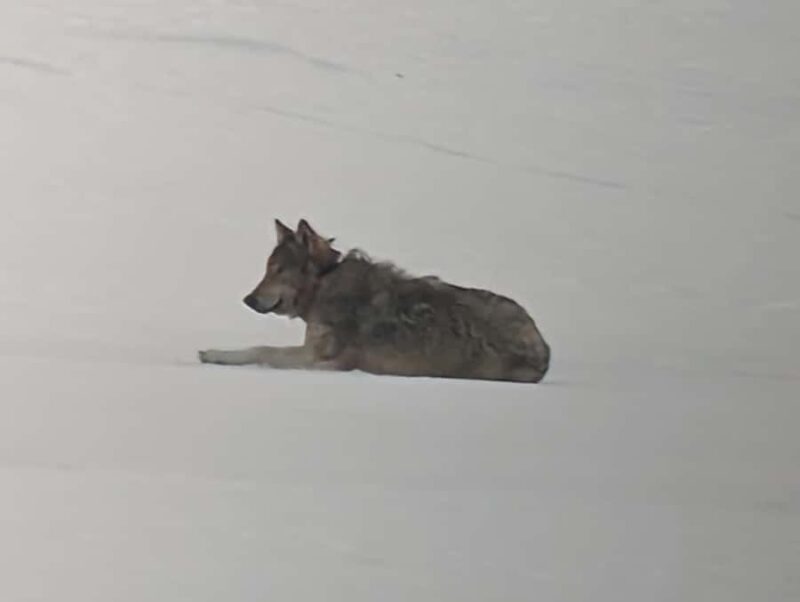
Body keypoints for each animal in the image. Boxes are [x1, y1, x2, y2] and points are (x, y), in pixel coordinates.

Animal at [199, 219, 550, 383]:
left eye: (278, 270)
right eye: (268, 268)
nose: (248, 299)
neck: (325, 283)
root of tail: (545, 349)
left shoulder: (325, 361)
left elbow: (262, 351)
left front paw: (214, 355)